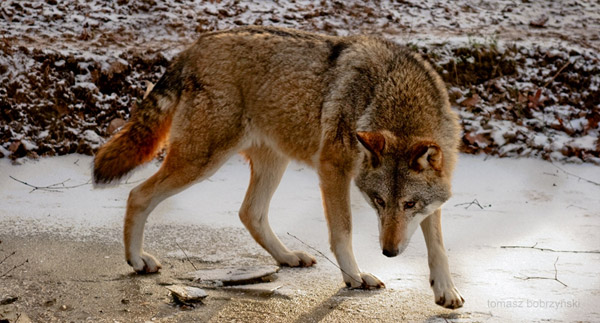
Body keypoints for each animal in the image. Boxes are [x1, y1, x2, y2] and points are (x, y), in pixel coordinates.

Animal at [94, 25, 466, 308]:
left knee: (250, 213)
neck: (395, 97)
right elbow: (342, 232)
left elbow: (438, 247)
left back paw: (287, 258)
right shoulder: (332, 169)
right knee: (138, 195)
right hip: (201, 163)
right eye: (378, 201)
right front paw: (355, 277)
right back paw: (137, 260)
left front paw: (446, 291)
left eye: (410, 204)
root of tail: (195, 46)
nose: (389, 252)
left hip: (272, 164)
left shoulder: (434, 194)